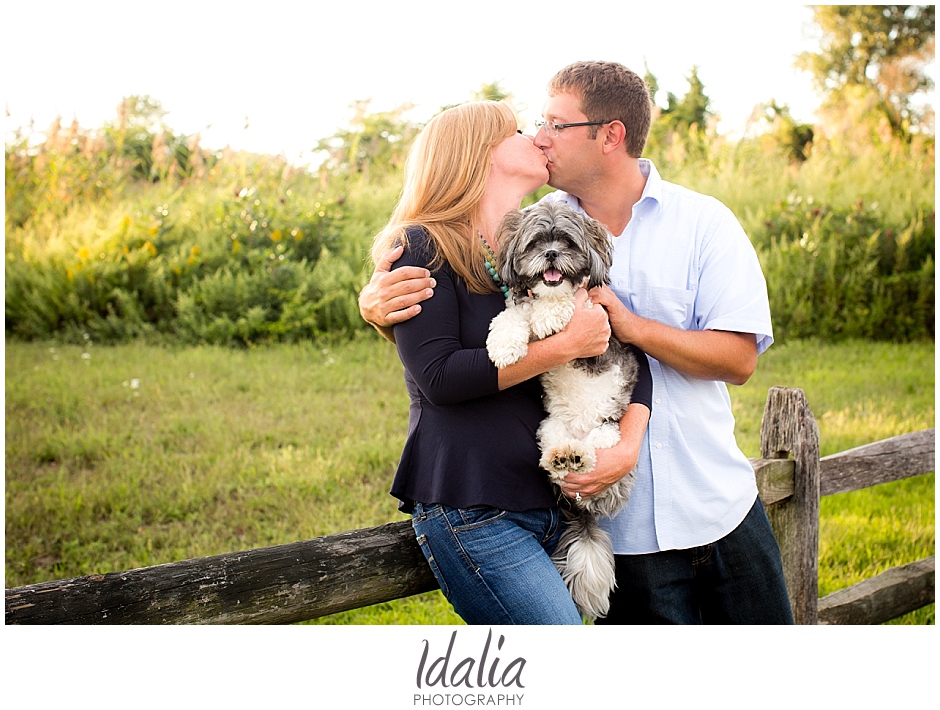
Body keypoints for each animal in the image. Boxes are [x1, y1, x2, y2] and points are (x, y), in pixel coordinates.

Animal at [484, 200, 640, 624]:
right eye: (537, 242)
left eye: (567, 242)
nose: (551, 254)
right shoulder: (517, 305)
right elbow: (509, 317)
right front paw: (505, 346)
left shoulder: (597, 316)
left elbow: (563, 307)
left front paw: (549, 316)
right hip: (550, 428)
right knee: (554, 463)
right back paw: (562, 458)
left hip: (610, 438)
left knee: (596, 470)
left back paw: (581, 458)